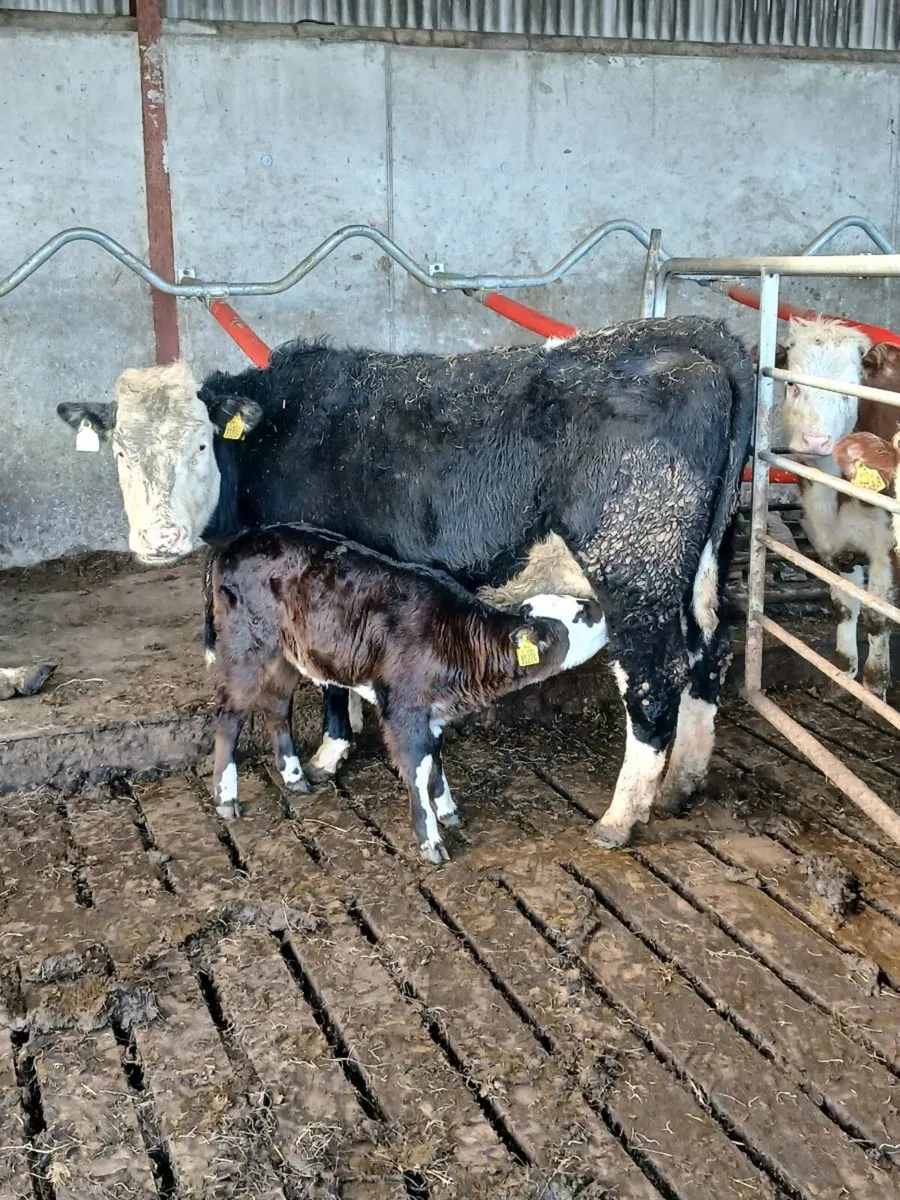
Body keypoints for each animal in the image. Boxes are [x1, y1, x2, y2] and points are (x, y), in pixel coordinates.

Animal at [206, 523, 608, 862]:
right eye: (580, 615)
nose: (601, 606)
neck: (460, 641)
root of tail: (242, 538)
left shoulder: (433, 712)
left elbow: (436, 761)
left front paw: (447, 809)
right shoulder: (404, 709)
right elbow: (417, 768)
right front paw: (430, 840)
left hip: (286, 653)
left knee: (277, 705)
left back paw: (293, 776)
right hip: (246, 645)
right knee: (230, 715)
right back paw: (227, 797)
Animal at [776, 320, 900, 697]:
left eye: (851, 391)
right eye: (792, 384)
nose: (815, 441)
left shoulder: (887, 550)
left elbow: (877, 617)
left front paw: (873, 690)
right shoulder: (828, 538)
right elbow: (844, 606)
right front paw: (842, 675)